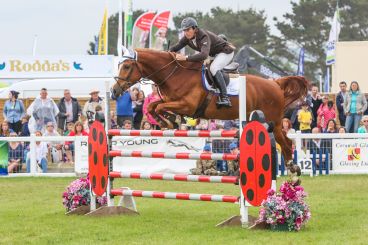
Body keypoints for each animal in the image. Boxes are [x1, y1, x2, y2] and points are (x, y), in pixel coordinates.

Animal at [113, 48, 308, 164]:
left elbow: (160, 108)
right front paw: (167, 122)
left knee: (286, 144)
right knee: (286, 143)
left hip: (273, 121)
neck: (175, 74)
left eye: (127, 66)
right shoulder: (170, 100)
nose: (114, 91)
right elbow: (153, 106)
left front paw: (169, 122)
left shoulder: (187, 106)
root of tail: (275, 83)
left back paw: (293, 173)